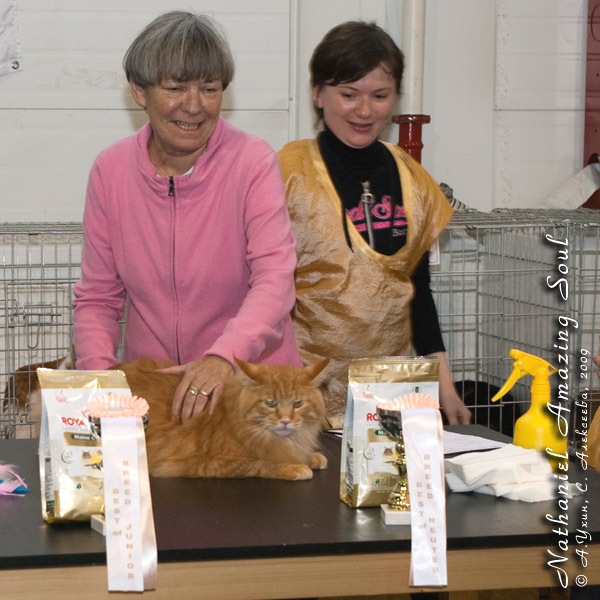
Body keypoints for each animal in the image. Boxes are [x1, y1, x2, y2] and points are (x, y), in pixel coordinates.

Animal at [112, 356, 328, 482]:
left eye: (298, 404)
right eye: (270, 402)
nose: (285, 421)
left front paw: (312, 457)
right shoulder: (210, 463)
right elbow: (260, 463)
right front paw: (295, 468)